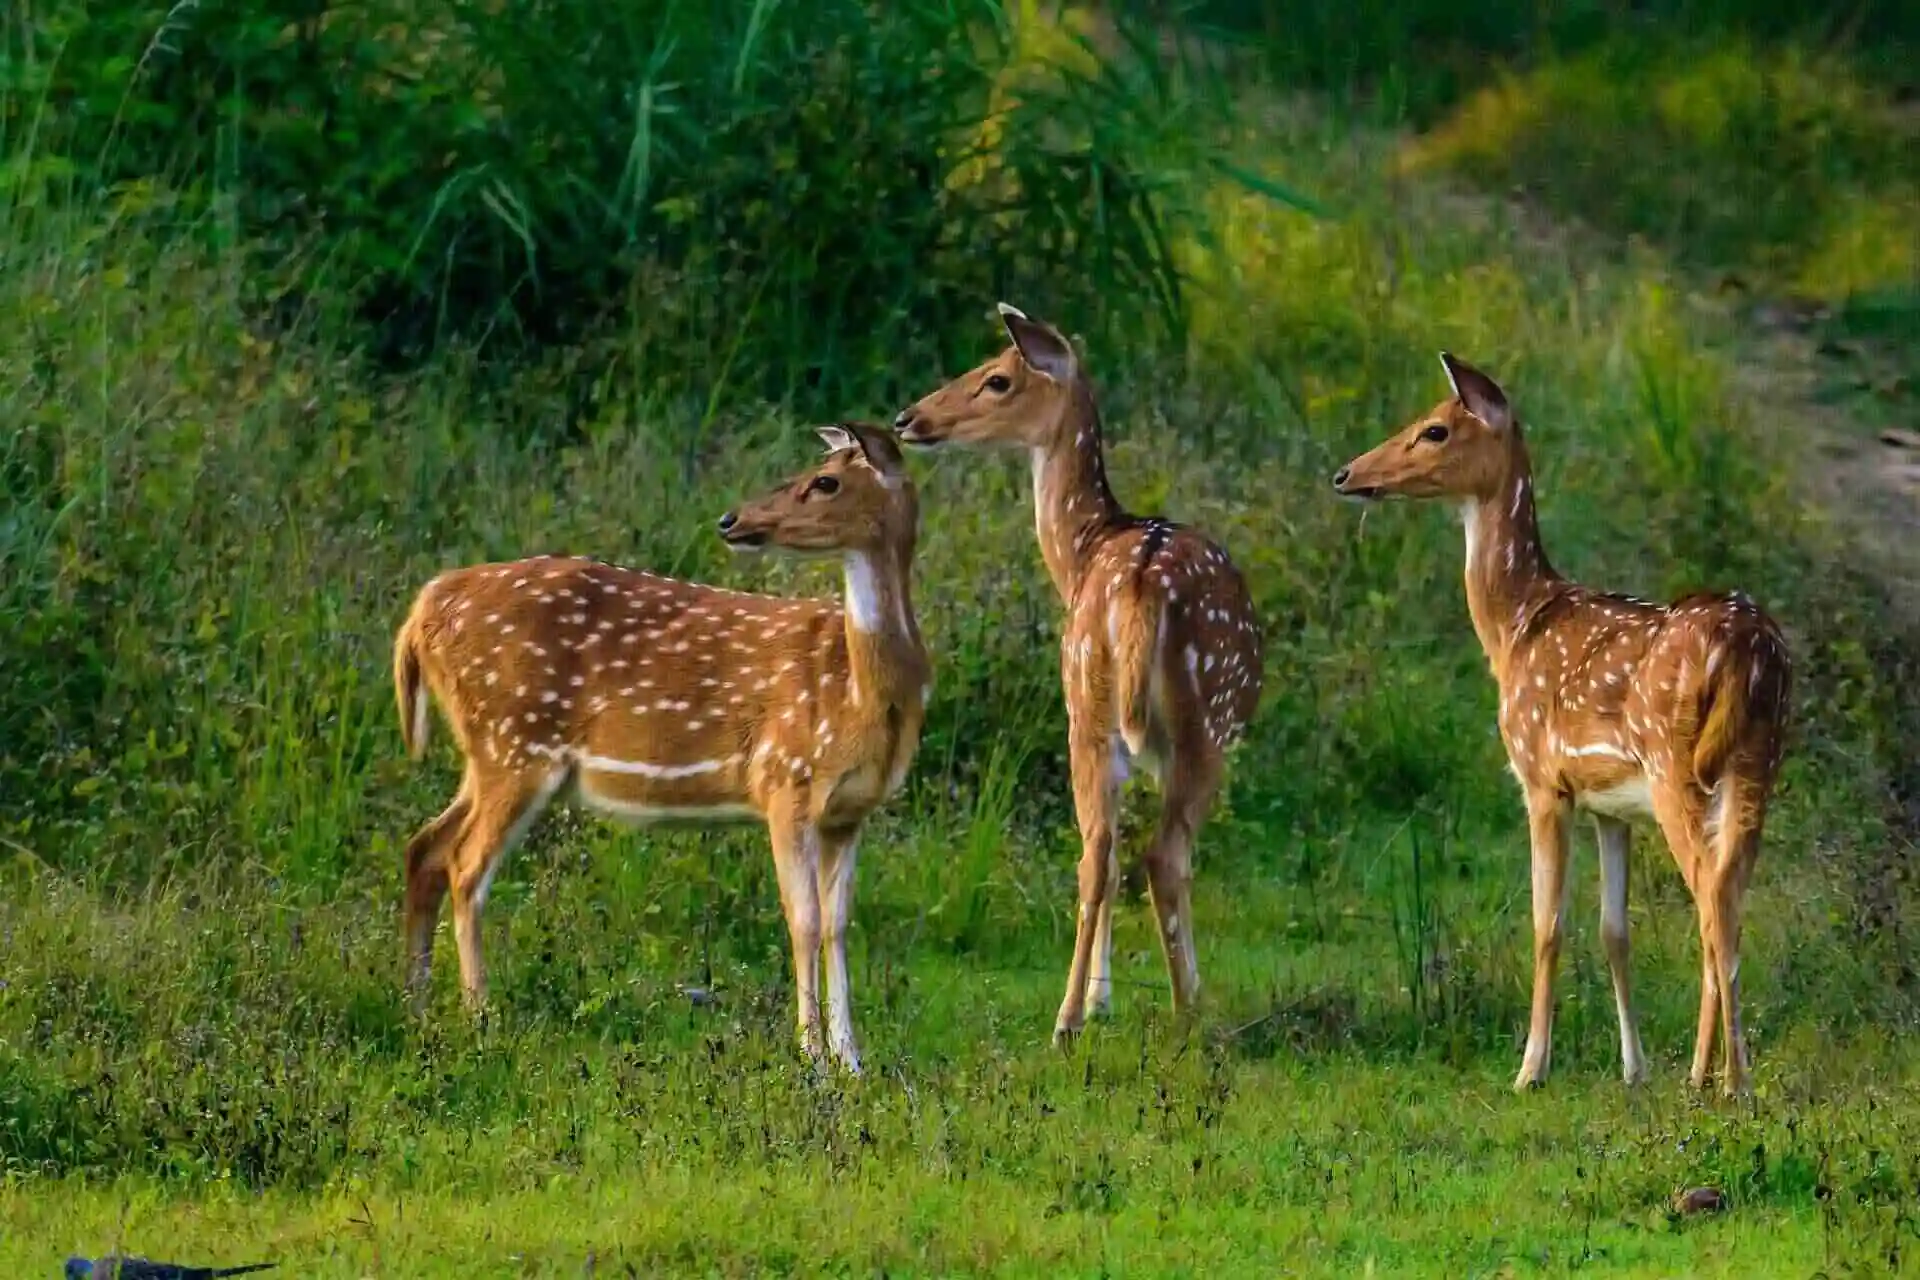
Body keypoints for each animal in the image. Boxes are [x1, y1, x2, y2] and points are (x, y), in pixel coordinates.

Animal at [385, 422, 925, 1074]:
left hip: (487, 751)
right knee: (465, 865)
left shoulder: (848, 811)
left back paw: (416, 1006)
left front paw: (852, 1061)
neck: (863, 695)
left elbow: (839, 923)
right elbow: (804, 919)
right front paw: (812, 1058)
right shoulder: (784, 778)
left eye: (825, 480)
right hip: (515, 739)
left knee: (425, 847)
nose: (732, 519)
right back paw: (480, 1017)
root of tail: (421, 610)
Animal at [890, 305, 1267, 1043]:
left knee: (1099, 853)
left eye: (997, 378)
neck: (1082, 549)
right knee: (1161, 855)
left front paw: (1099, 1001)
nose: (908, 418)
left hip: (1088, 707)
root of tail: (1140, 586)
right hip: (1201, 720)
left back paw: (1068, 1020)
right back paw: (1188, 1011)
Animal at [1336, 355, 1781, 1097]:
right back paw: (1707, 1073)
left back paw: (1725, 1080)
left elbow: (1547, 924)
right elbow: (1614, 930)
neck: (1516, 629)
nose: (1346, 474)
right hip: (1755, 765)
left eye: (1435, 429)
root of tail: (1750, 650)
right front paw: (1633, 1069)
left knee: (1712, 897)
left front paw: (1530, 1068)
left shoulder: (1542, 778)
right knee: (1730, 896)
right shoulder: (1610, 805)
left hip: (1676, 766)